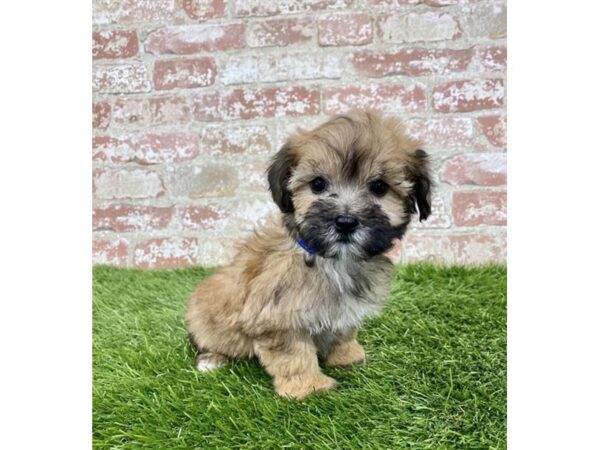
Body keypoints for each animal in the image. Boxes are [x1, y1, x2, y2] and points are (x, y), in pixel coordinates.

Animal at [185, 110, 428, 400]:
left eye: (379, 187)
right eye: (318, 184)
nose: (345, 222)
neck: (331, 261)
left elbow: (343, 332)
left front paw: (347, 357)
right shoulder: (277, 317)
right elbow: (294, 355)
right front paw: (309, 387)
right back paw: (211, 360)